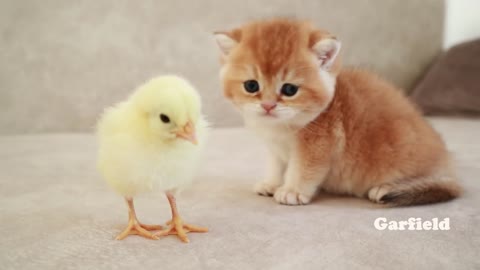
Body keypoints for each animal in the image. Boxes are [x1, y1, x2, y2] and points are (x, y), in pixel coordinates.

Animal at [214, 17, 462, 206]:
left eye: (289, 89)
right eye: (251, 86)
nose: (267, 105)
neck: (285, 127)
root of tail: (448, 164)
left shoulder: (317, 146)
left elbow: (302, 169)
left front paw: (292, 190)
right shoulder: (275, 149)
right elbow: (276, 166)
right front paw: (272, 183)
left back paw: (389, 188)